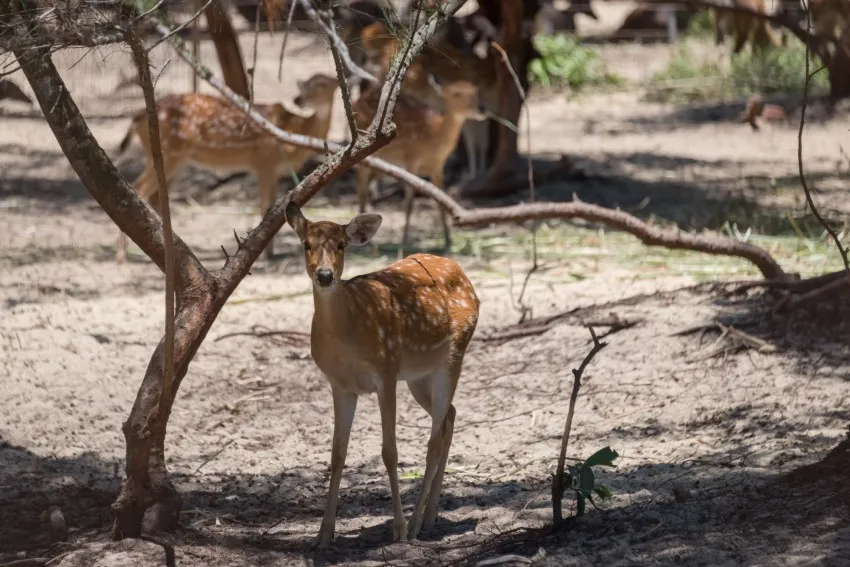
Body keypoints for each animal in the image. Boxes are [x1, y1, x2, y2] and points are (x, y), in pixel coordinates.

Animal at [113, 71, 338, 264]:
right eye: (307, 84)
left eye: (321, 84)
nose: (298, 99)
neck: (294, 131)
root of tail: (136, 117)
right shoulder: (264, 162)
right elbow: (265, 206)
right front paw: (267, 254)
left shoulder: (272, 170)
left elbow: (276, 207)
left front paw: (271, 252)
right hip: (169, 154)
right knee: (139, 188)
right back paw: (122, 256)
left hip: (176, 161)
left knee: (155, 196)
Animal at [284, 202, 480, 548]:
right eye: (306, 244)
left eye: (341, 245)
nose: (325, 275)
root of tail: (464, 274)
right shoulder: (340, 385)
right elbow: (337, 454)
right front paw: (323, 534)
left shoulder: (386, 372)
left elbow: (390, 452)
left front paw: (398, 529)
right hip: (418, 376)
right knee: (450, 417)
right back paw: (430, 517)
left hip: (453, 354)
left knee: (433, 439)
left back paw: (414, 526)